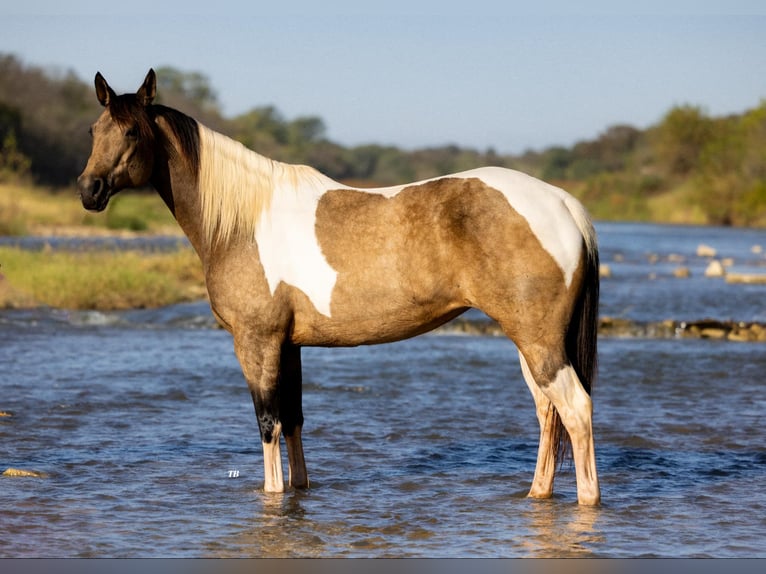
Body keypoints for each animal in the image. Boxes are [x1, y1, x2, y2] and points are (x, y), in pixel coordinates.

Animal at [77, 69, 601, 505]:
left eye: (131, 132)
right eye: (94, 131)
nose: (89, 190)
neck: (241, 223)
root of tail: (563, 203)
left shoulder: (256, 341)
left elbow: (267, 422)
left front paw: (271, 497)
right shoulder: (289, 345)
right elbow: (293, 419)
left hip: (537, 339)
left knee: (574, 409)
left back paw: (586, 502)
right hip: (532, 341)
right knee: (548, 412)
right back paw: (537, 495)